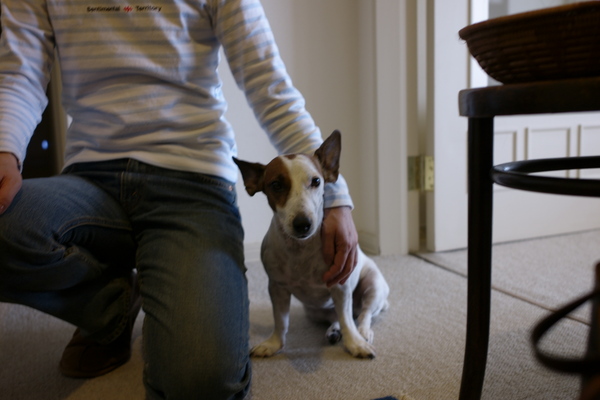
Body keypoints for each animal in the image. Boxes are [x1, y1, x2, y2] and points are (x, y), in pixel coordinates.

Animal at [234, 130, 389, 359]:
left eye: (316, 181)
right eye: (276, 185)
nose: (303, 224)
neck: (301, 250)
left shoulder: (340, 286)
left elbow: (348, 321)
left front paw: (355, 344)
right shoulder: (277, 288)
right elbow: (281, 321)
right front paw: (273, 344)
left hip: (373, 287)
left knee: (362, 315)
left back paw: (362, 332)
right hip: (314, 311)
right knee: (339, 317)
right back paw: (334, 331)